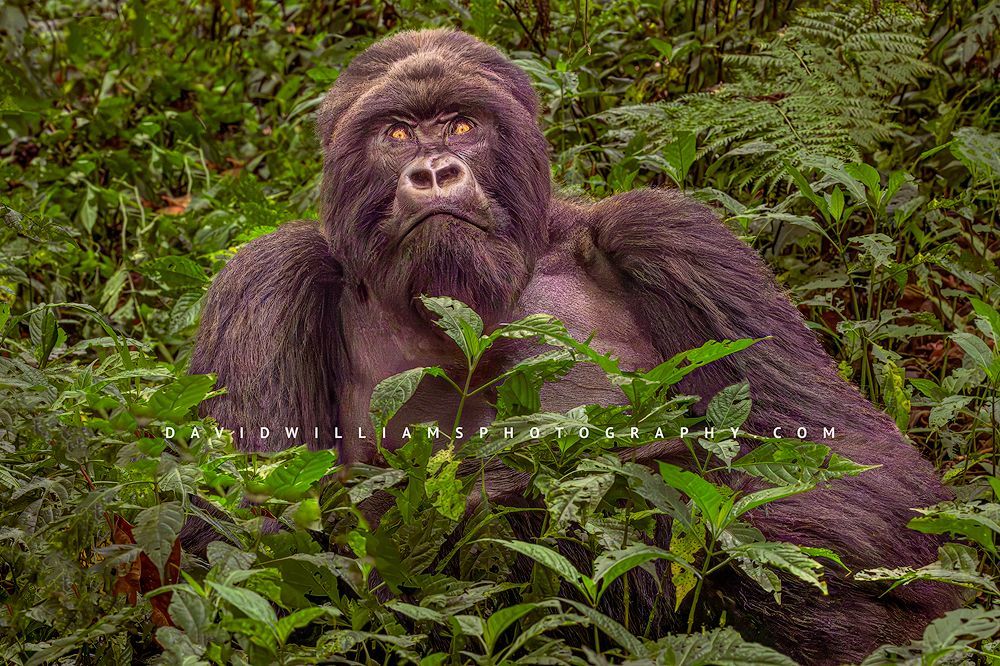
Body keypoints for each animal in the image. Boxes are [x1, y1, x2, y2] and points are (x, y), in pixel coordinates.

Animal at [188, 29, 961, 663]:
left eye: (462, 125)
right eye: (397, 134)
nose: (435, 172)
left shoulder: (673, 234)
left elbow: (859, 471)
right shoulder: (261, 283)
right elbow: (243, 544)